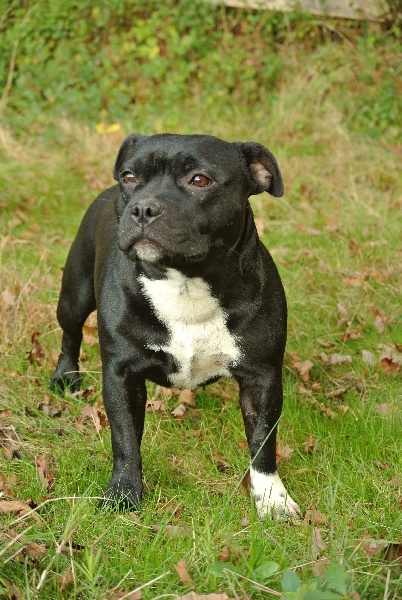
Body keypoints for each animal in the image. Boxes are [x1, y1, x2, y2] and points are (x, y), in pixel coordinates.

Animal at [51, 134, 298, 516]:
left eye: (200, 180)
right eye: (129, 176)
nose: (142, 208)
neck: (185, 282)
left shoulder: (262, 376)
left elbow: (262, 441)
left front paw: (272, 498)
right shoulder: (121, 374)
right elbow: (125, 439)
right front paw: (123, 494)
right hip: (75, 294)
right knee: (71, 332)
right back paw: (65, 377)